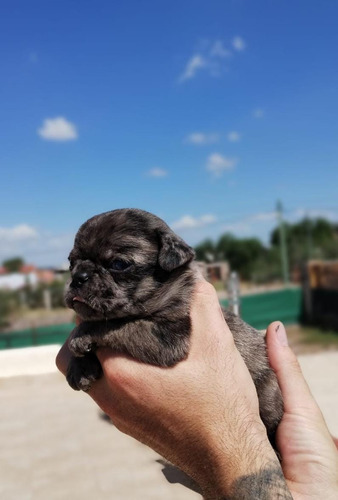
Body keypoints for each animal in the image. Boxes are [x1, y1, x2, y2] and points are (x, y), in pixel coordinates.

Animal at [64, 209, 284, 440]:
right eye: (70, 263)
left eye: (119, 264)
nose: (78, 277)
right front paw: (80, 366)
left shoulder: (167, 337)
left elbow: (120, 323)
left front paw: (82, 335)